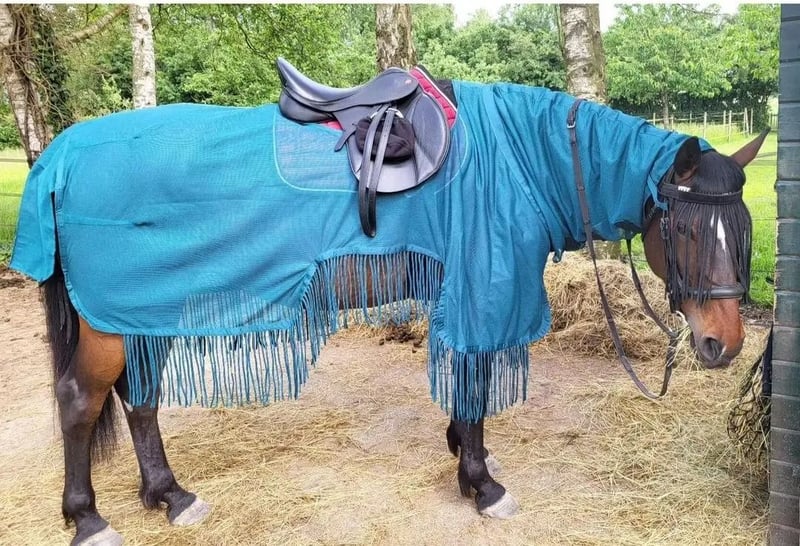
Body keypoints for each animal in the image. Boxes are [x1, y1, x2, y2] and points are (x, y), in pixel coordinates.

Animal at [9, 76, 766, 545]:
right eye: (687, 230)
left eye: (743, 230)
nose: (723, 345)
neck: (519, 159)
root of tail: (62, 155)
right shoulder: (482, 289)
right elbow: (474, 379)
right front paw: (480, 483)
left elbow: (467, 385)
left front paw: (465, 452)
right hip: (111, 321)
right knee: (82, 401)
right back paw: (88, 519)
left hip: (145, 310)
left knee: (138, 401)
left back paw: (170, 496)